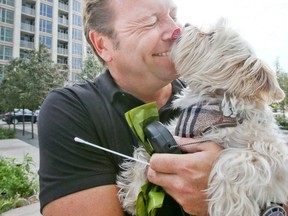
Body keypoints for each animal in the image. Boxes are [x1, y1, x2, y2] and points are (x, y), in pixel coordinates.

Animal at [117, 19, 288, 214]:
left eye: (211, 35)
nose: (185, 24)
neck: (214, 109)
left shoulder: (274, 154)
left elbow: (234, 161)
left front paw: (228, 206)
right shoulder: (173, 134)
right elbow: (142, 153)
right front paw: (133, 193)